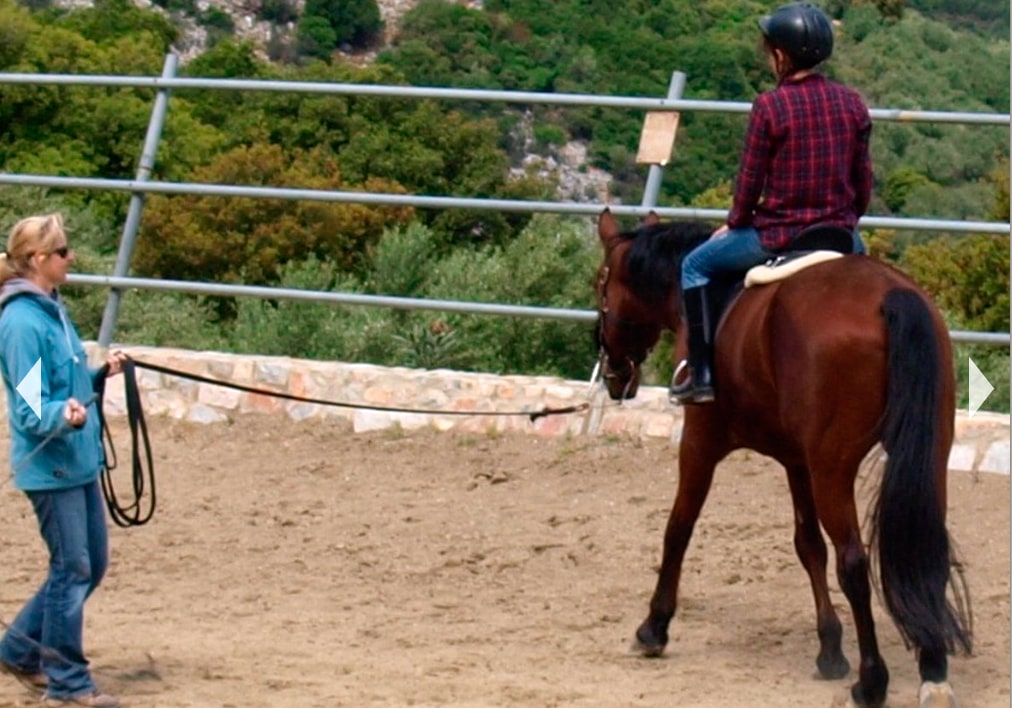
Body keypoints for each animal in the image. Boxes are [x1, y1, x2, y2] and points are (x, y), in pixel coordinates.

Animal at [591, 208, 971, 708]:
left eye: (600, 285)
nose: (615, 375)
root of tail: (891, 295)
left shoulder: (700, 441)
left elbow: (678, 528)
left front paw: (653, 628)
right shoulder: (797, 460)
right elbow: (807, 546)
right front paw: (829, 650)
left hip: (834, 468)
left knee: (853, 561)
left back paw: (872, 681)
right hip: (927, 455)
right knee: (924, 548)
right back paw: (933, 672)